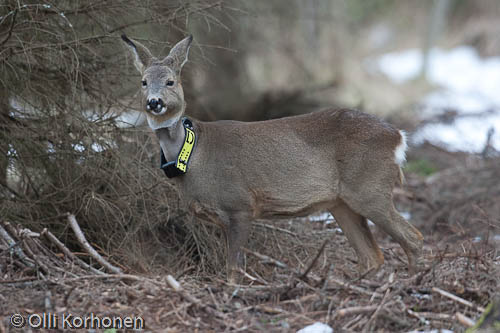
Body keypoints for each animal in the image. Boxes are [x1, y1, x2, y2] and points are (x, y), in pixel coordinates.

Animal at [123, 35, 424, 282]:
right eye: (143, 82)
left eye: (171, 81)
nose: (154, 102)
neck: (194, 154)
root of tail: (398, 137)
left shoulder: (240, 204)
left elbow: (233, 269)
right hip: (341, 203)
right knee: (372, 256)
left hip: (369, 187)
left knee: (414, 238)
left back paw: (412, 283)